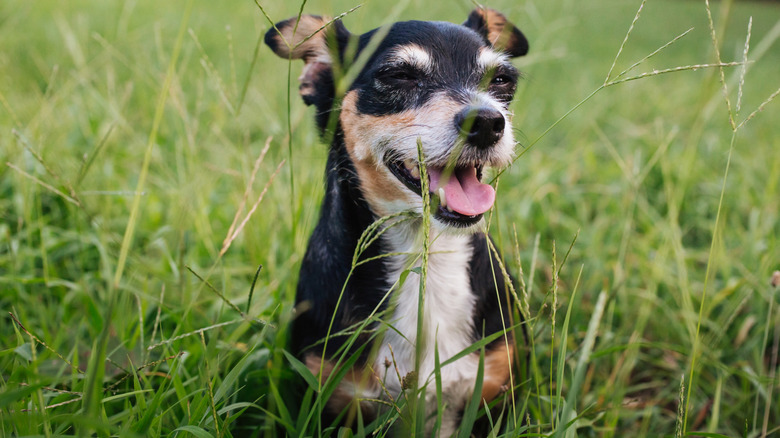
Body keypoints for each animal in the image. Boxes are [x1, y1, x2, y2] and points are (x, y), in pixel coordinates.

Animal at [268, 7, 532, 434]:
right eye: (399, 76)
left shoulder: (499, 393)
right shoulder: (327, 398)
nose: (488, 122)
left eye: (501, 80)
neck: (428, 259)